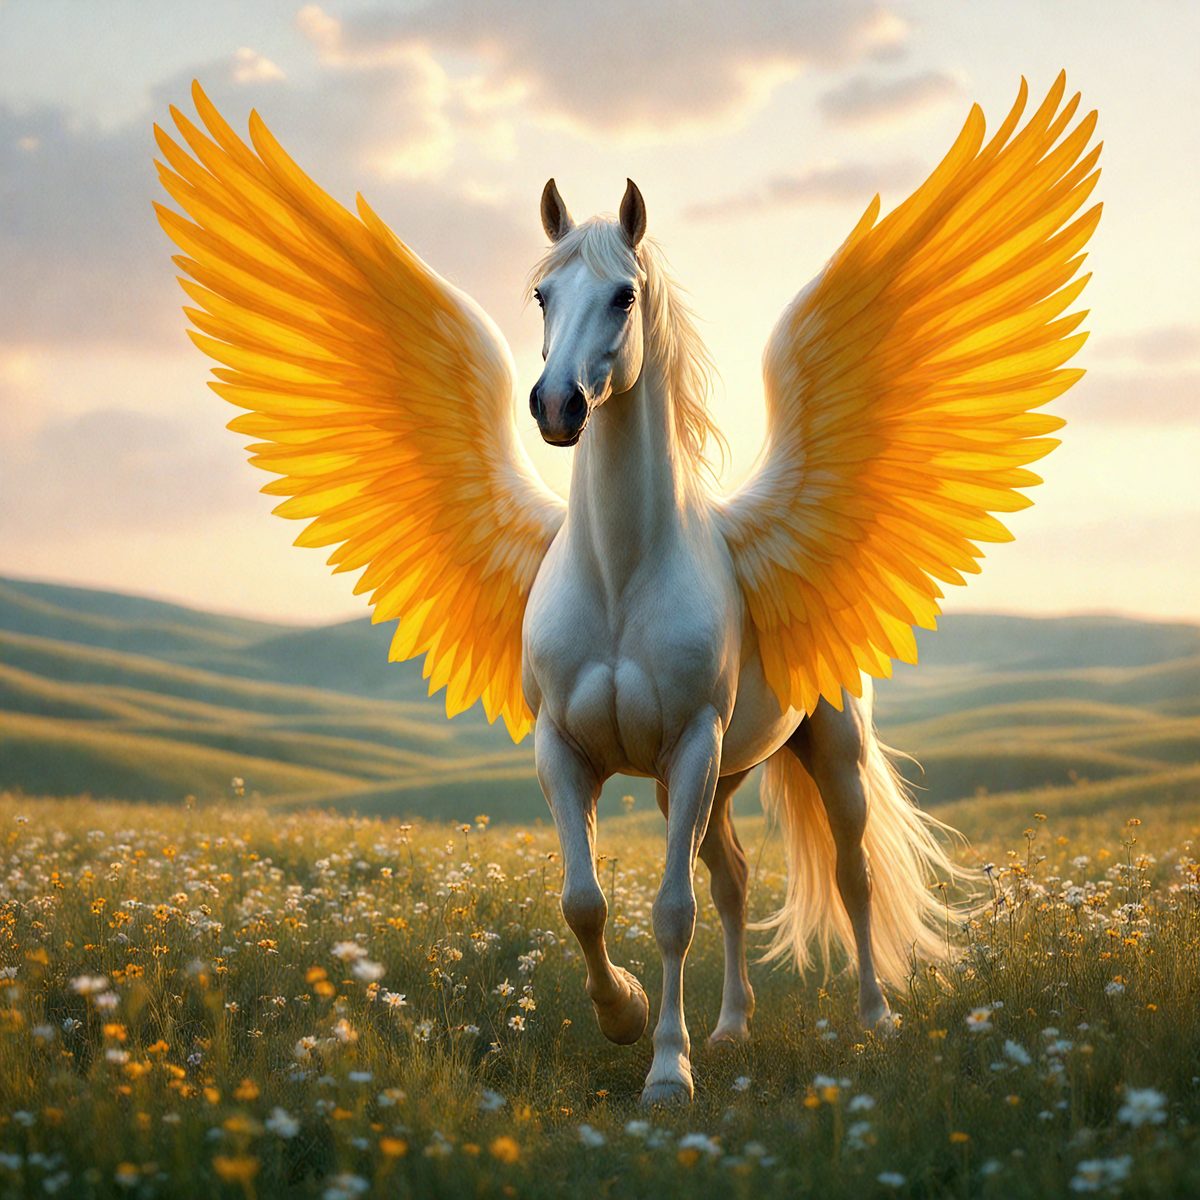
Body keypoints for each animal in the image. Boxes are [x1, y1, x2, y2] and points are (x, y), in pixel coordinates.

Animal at [155, 74, 1100, 1106]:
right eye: (541, 292)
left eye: (624, 293)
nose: (555, 406)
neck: (620, 576)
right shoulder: (569, 753)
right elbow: (587, 901)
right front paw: (627, 1017)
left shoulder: (688, 745)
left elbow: (671, 910)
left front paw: (667, 1072)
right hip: (728, 777)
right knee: (734, 876)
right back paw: (732, 1027)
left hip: (821, 746)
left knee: (849, 874)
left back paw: (872, 1021)